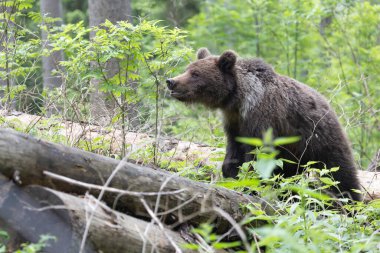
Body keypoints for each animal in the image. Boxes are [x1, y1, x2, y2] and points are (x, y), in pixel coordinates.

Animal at [167, 48, 362, 201]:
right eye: (187, 69)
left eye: (195, 74)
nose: (171, 81)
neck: (238, 99)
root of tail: (329, 105)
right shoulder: (234, 123)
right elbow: (234, 151)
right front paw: (232, 174)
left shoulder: (262, 117)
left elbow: (258, 154)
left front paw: (249, 184)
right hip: (294, 152)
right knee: (289, 175)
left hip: (319, 137)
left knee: (339, 171)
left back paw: (350, 201)